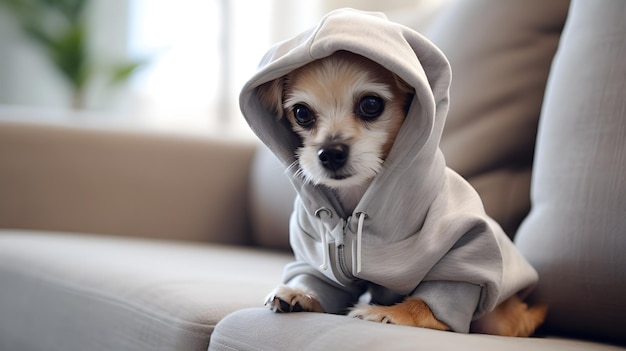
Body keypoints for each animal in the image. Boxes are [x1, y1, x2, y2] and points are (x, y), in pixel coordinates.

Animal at [252, 50, 540, 338]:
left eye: (371, 104)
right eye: (301, 113)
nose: (330, 152)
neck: (358, 195)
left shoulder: (463, 255)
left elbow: (432, 300)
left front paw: (391, 313)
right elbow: (323, 280)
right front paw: (302, 294)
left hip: (498, 319)